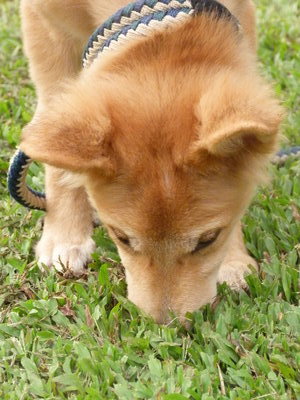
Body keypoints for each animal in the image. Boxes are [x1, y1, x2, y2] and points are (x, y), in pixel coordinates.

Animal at [19, 0, 282, 324]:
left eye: (209, 239)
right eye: (121, 238)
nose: (166, 326)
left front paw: (232, 261)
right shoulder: (44, 23)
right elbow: (55, 123)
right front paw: (64, 236)